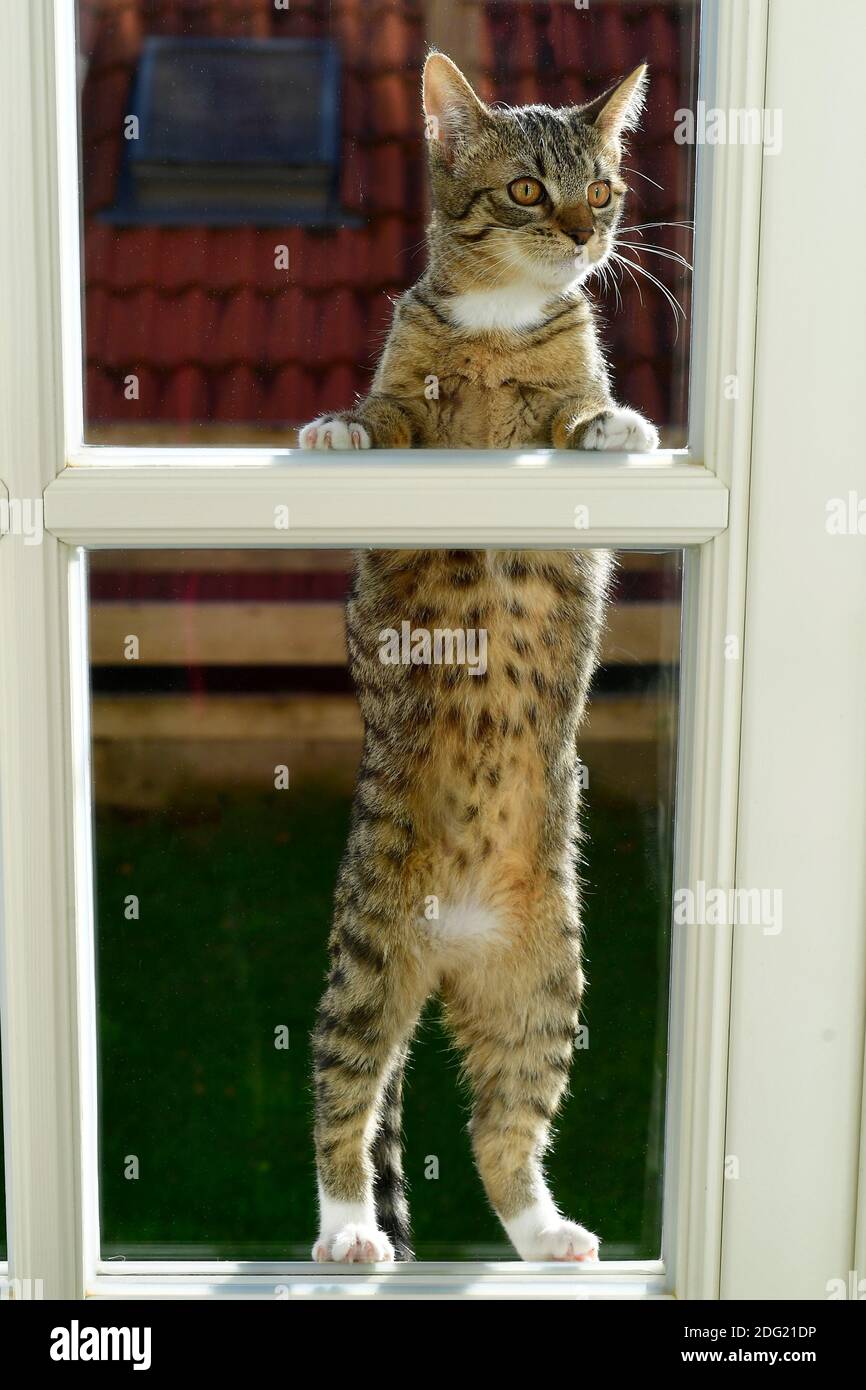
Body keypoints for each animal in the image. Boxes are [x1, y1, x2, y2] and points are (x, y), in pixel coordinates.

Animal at [301, 51, 661, 1262]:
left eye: (599, 189)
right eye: (524, 191)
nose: (585, 237)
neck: (501, 321)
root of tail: (450, 948)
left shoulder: (563, 385)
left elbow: (579, 409)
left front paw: (617, 427)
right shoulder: (410, 396)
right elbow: (386, 417)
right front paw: (337, 427)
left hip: (545, 989)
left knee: (500, 1132)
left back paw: (545, 1229)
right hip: (366, 958)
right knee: (344, 1098)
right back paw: (345, 1228)